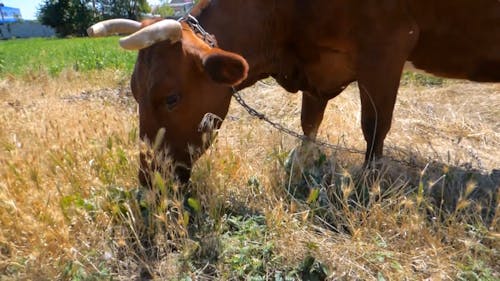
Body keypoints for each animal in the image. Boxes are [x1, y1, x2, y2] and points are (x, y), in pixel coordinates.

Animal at [88, 0, 498, 185]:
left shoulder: (388, 46)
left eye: (172, 98)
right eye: (134, 93)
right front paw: (300, 164)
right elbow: (309, 122)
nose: (149, 178)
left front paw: (368, 182)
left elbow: (374, 126)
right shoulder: (318, 70)